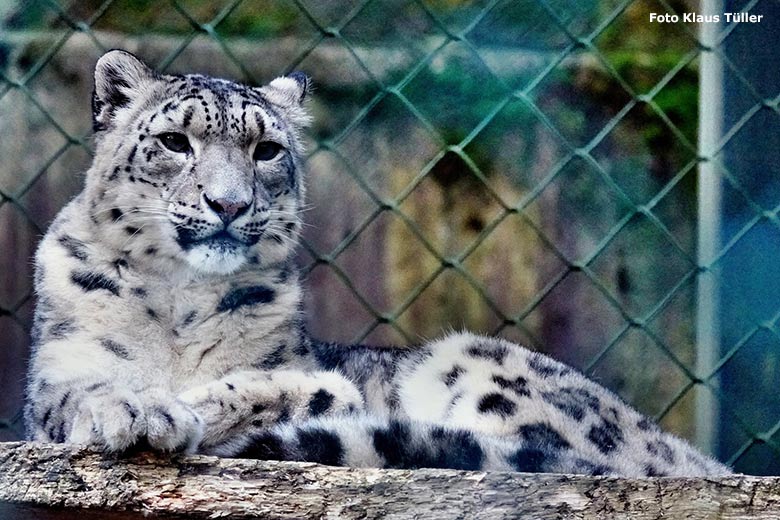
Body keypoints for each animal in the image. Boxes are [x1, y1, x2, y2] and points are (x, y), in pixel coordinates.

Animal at [24, 50, 732, 478]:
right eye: (174, 141)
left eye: (266, 149)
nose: (228, 203)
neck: (182, 301)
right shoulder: (57, 371)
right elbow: (75, 392)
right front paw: (138, 409)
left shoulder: (303, 370)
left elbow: (298, 384)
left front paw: (194, 404)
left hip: (480, 364)